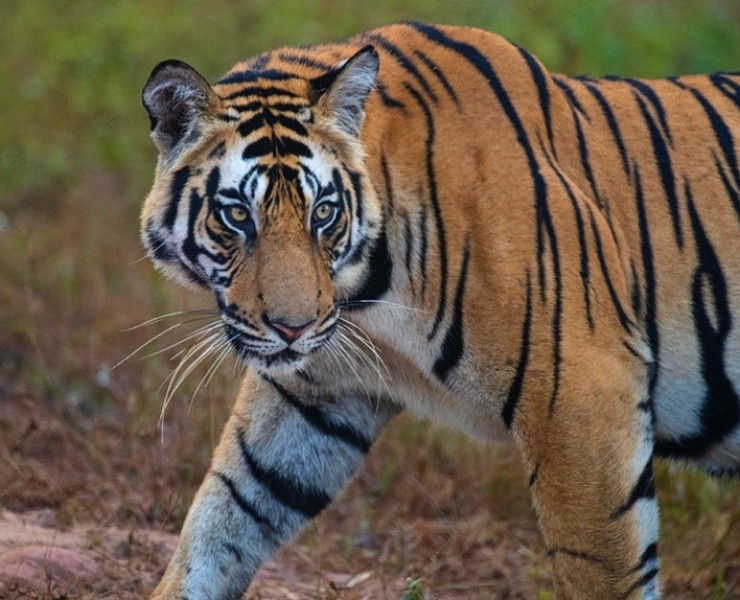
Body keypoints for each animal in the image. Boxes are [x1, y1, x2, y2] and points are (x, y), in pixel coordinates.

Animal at [139, 22, 740, 600]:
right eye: (238, 215)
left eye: (323, 213)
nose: (293, 328)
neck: (367, 294)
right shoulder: (314, 393)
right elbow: (227, 514)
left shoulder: (583, 393)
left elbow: (600, 567)